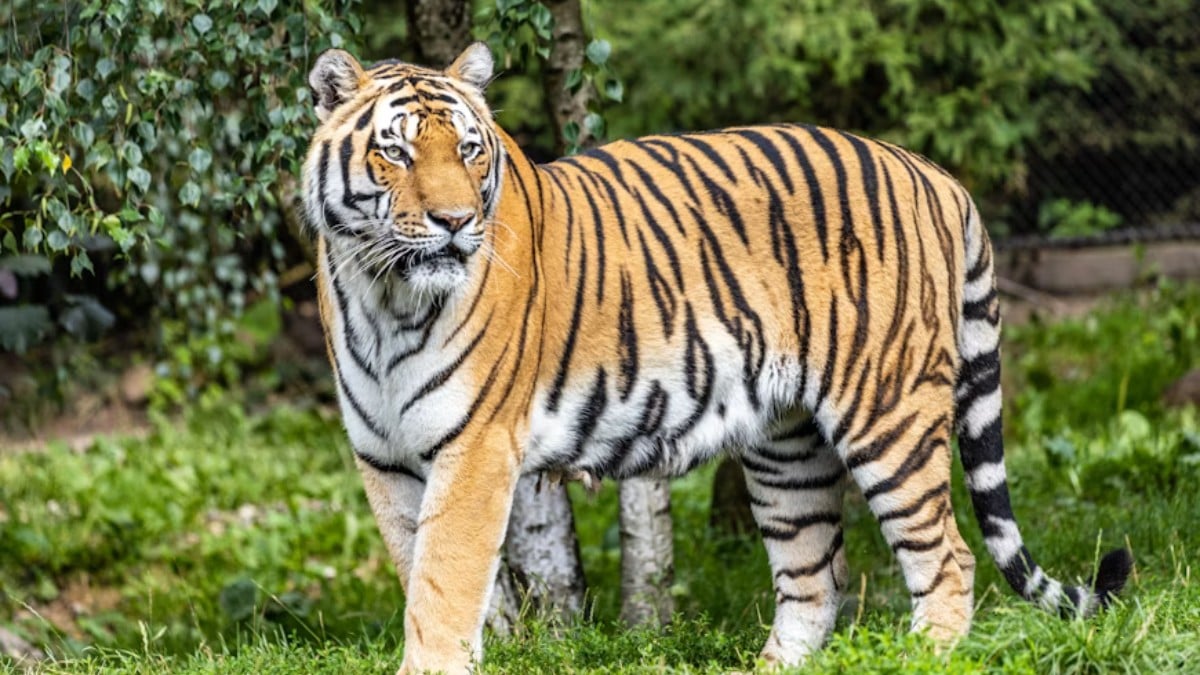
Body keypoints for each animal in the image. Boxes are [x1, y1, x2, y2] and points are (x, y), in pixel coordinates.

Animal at [301, 42, 1132, 673]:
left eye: (470, 150)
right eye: (397, 151)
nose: (455, 221)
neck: (384, 294)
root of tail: (933, 172)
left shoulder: (475, 450)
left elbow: (442, 592)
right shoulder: (386, 459)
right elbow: (423, 576)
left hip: (887, 411)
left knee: (947, 554)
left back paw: (923, 656)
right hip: (787, 445)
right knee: (815, 576)